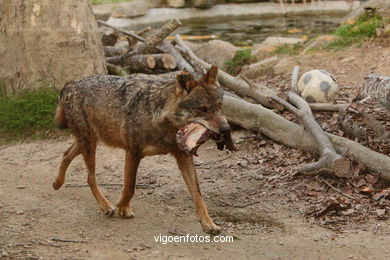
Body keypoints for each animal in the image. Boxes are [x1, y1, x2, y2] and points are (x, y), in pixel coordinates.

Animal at [53, 66, 236, 235]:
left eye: (219, 106)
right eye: (203, 109)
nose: (226, 128)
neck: (159, 118)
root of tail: (73, 83)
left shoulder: (184, 156)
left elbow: (198, 195)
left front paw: (209, 224)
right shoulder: (133, 152)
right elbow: (130, 187)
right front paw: (122, 208)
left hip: (87, 142)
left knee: (66, 155)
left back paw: (57, 183)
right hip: (89, 144)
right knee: (90, 177)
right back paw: (106, 206)